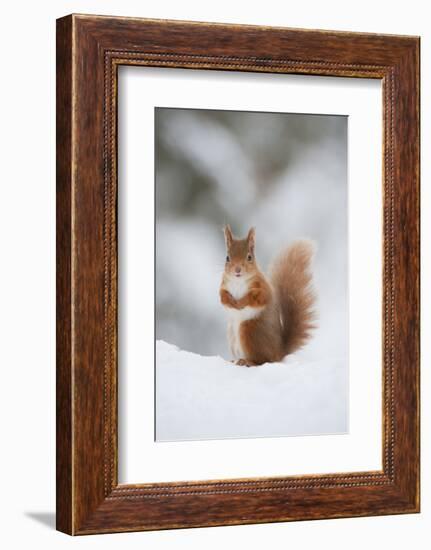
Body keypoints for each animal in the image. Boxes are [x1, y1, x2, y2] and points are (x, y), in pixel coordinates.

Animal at [221, 226, 316, 368]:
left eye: (249, 257)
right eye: (227, 258)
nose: (237, 270)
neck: (238, 281)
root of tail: (279, 352)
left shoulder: (262, 288)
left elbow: (258, 298)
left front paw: (241, 302)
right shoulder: (223, 285)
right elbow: (222, 297)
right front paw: (231, 302)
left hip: (249, 330)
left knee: (263, 360)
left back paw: (248, 361)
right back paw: (235, 360)